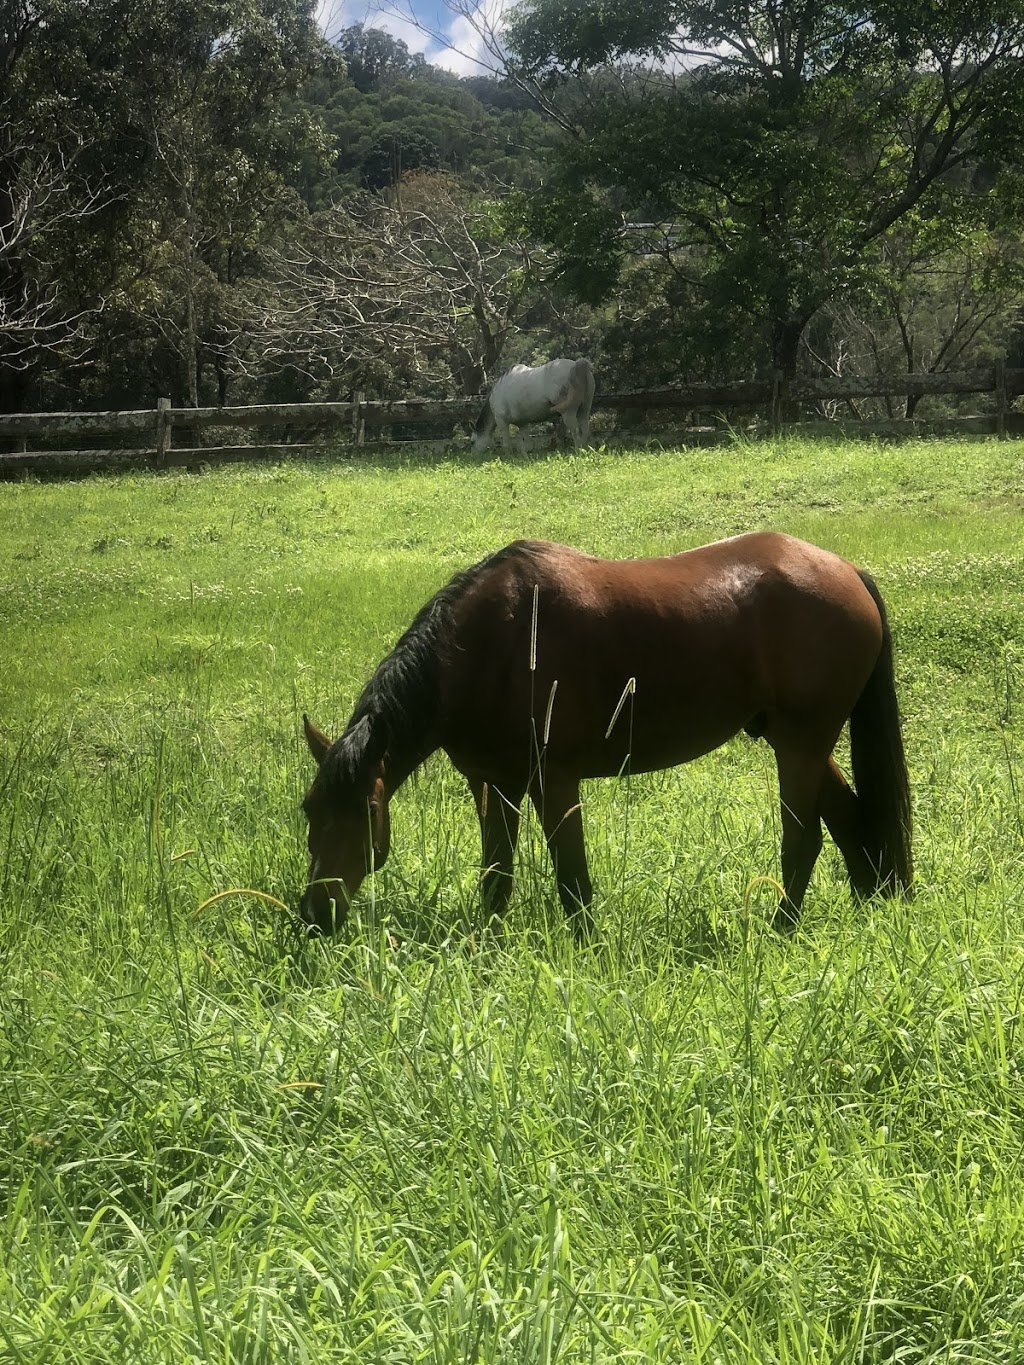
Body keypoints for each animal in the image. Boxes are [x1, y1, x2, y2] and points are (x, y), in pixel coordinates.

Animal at [299, 532, 912, 939]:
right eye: (309, 810)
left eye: (365, 813)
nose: (315, 914)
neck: (487, 647)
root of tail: (848, 571)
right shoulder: (493, 783)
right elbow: (496, 876)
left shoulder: (554, 780)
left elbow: (572, 876)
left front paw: (587, 948)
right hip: (797, 741)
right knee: (853, 820)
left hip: (800, 743)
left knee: (803, 839)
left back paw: (780, 930)